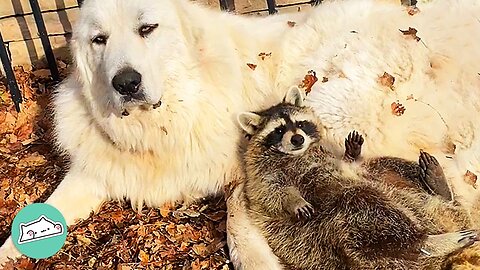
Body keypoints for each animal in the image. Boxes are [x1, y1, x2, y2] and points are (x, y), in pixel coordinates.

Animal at [238, 86, 478, 270]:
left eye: (300, 124)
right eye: (279, 130)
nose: (297, 139)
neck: (298, 154)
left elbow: (348, 162)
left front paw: (352, 152)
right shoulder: (259, 174)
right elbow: (272, 192)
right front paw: (293, 200)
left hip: (384, 179)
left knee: (388, 165)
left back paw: (440, 188)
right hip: (339, 229)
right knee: (364, 202)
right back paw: (425, 242)